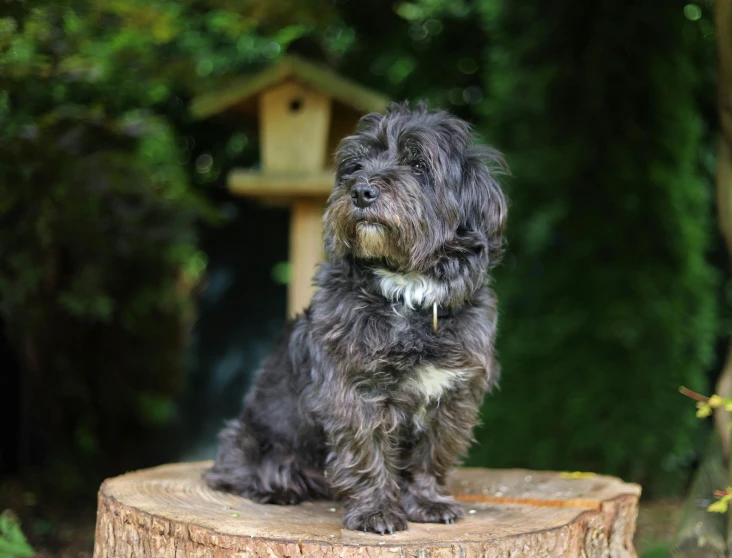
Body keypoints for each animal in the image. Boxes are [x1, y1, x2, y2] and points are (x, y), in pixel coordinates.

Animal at [203, 103, 506, 536]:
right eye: (355, 165)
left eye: (418, 164)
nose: (361, 191)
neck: (408, 292)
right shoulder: (354, 392)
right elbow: (367, 452)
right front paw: (376, 511)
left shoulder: (453, 397)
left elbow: (431, 455)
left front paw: (427, 501)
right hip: (246, 440)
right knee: (232, 474)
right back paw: (279, 488)